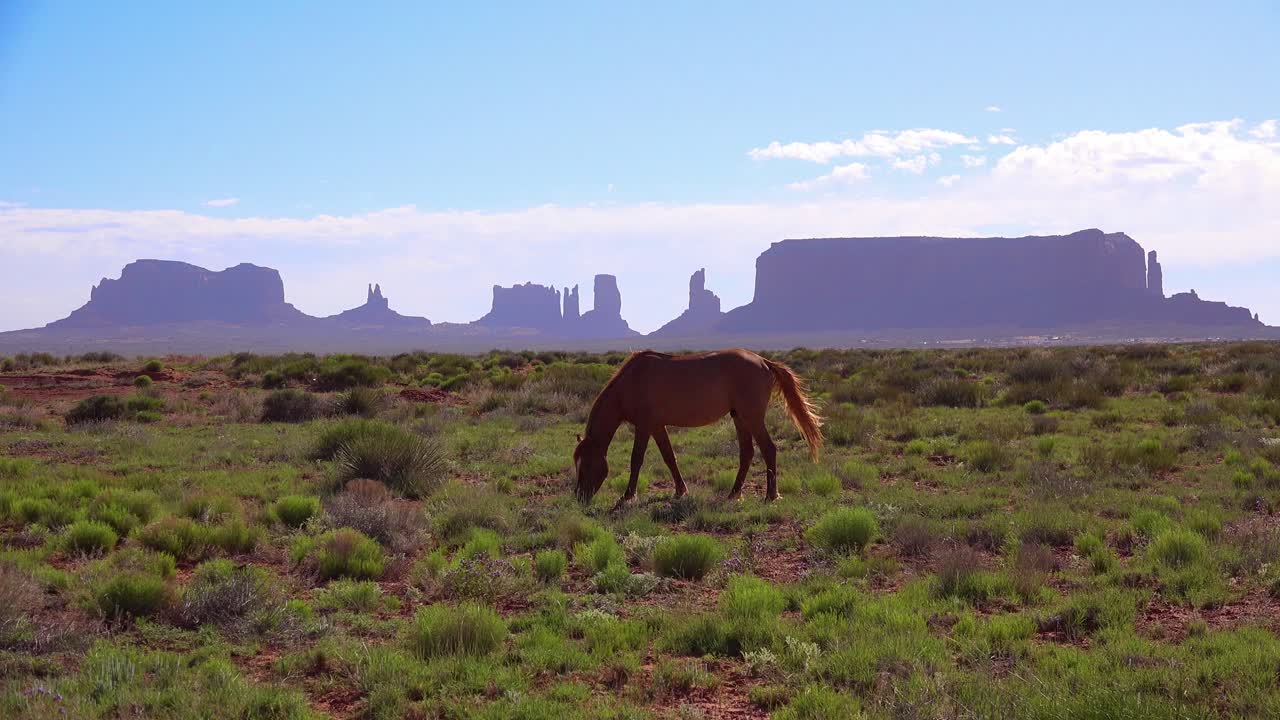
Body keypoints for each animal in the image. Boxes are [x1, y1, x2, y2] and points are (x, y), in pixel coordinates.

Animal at [572, 349, 823, 508]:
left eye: (587, 465)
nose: (579, 497)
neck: (632, 380)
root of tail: (764, 361)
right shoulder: (657, 427)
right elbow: (669, 457)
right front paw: (680, 491)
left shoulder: (644, 427)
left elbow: (636, 460)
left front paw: (627, 496)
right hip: (739, 418)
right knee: (747, 453)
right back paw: (734, 494)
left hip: (752, 418)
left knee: (769, 448)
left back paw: (771, 496)